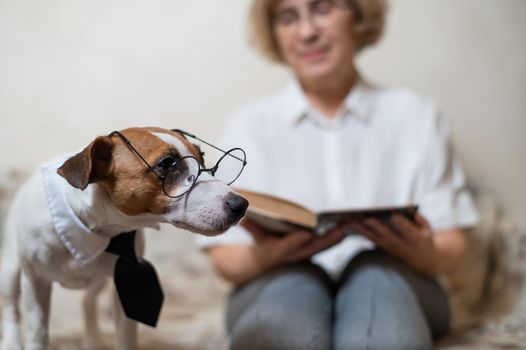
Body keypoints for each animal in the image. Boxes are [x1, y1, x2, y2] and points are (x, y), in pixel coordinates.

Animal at [0, 127, 250, 348]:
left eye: (203, 158)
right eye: (167, 164)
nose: (241, 205)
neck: (97, 226)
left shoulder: (123, 288)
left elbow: (126, 336)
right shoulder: (36, 282)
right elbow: (37, 333)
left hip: (100, 280)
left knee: (88, 300)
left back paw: (94, 339)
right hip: (11, 271)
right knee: (11, 308)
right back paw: (12, 342)